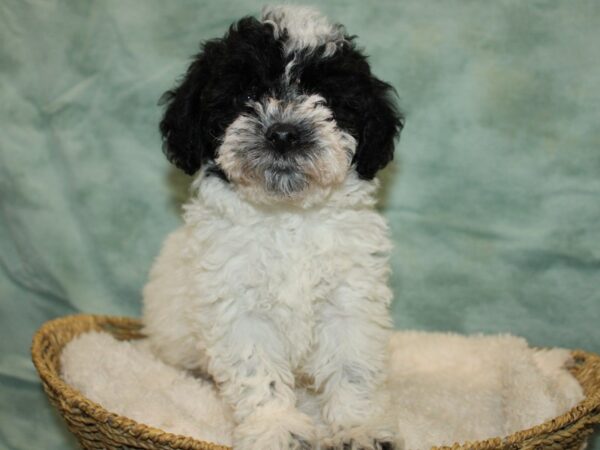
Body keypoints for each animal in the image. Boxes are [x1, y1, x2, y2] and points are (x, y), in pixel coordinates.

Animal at [142, 4, 404, 450]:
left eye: (325, 98)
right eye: (245, 95)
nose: (283, 133)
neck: (287, 217)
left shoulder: (349, 297)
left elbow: (352, 367)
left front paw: (358, 427)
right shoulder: (237, 305)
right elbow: (257, 372)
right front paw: (277, 428)